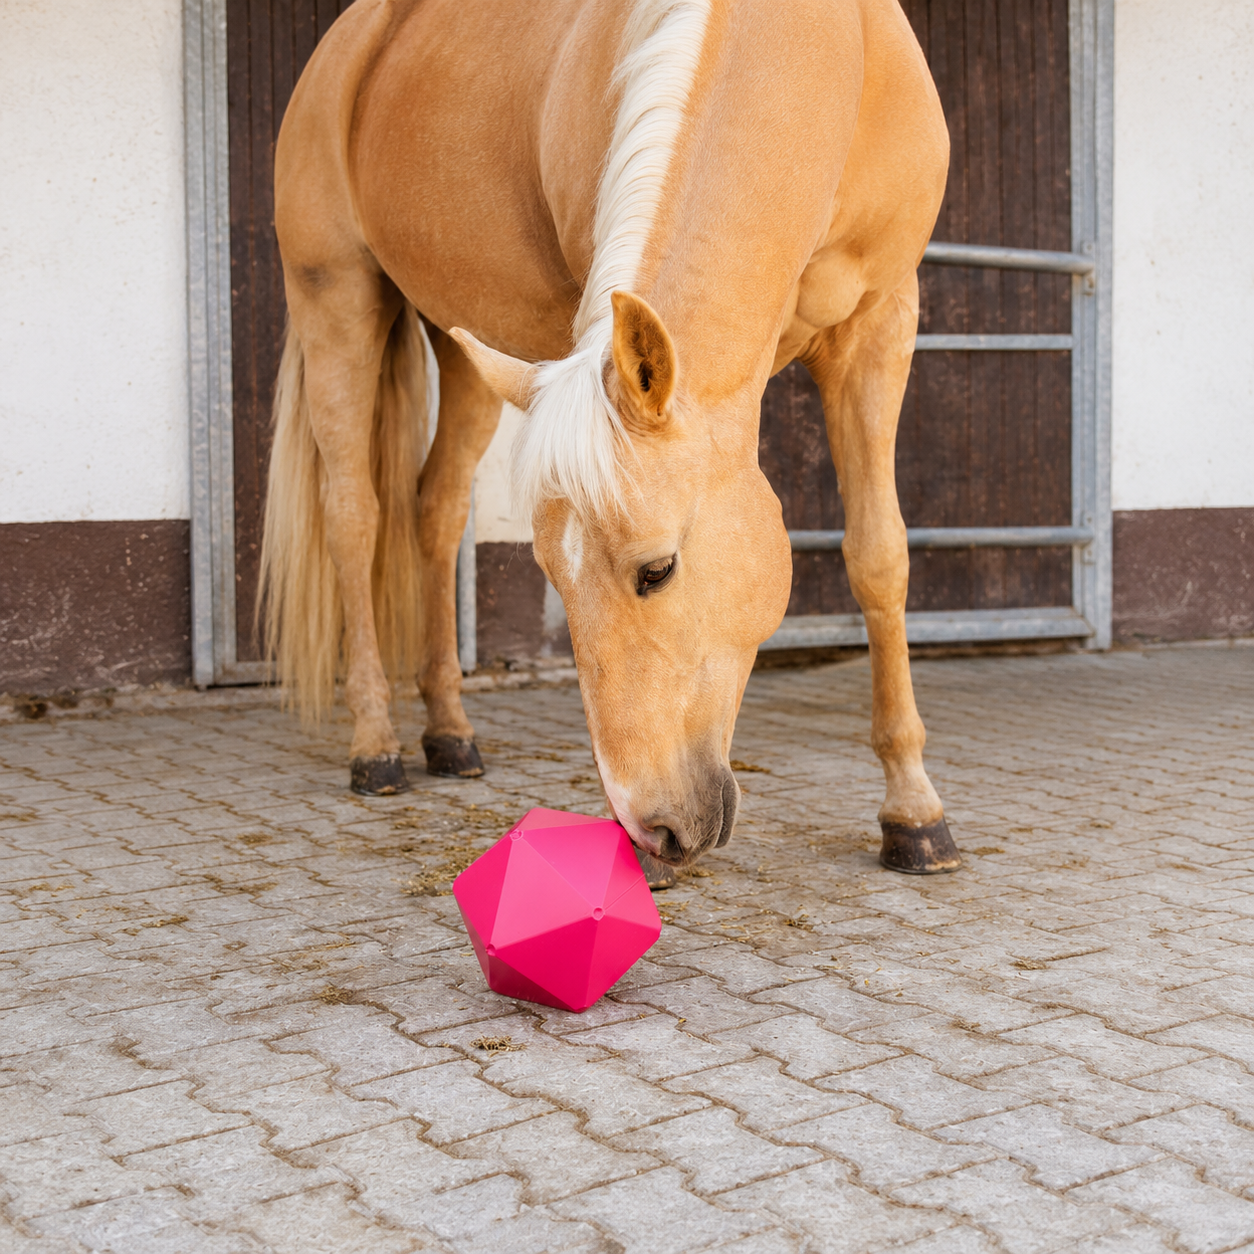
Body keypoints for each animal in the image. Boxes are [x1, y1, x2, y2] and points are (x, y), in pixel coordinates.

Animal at [260, 0, 962, 876]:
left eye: (657, 570)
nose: (653, 831)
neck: (818, 56)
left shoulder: (879, 323)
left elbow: (879, 558)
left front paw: (915, 815)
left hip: (462, 345)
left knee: (436, 508)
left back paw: (450, 736)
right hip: (337, 298)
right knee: (355, 517)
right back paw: (376, 747)